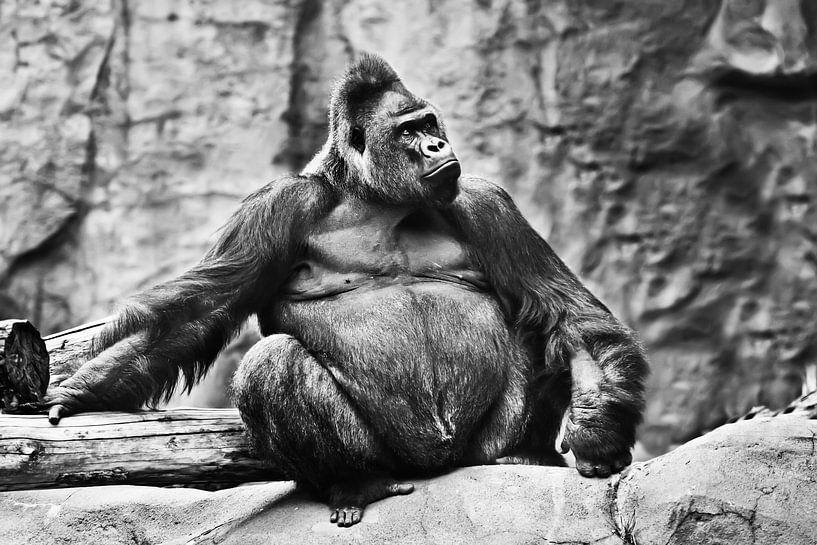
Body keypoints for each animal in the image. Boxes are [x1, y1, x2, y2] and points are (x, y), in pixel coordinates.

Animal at [46, 54, 648, 527]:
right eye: (407, 132)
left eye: (430, 124)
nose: (436, 144)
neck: (373, 197)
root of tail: (437, 467)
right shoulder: (276, 206)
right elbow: (198, 311)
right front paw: (84, 390)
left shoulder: (486, 203)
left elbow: (569, 317)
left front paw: (597, 429)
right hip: (393, 459)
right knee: (273, 363)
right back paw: (356, 484)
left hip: (477, 449)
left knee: (541, 336)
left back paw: (519, 457)